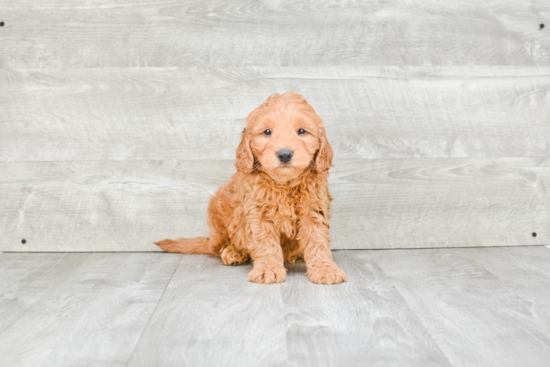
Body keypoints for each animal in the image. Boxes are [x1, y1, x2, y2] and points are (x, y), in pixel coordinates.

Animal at [155, 91, 348, 284]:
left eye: (302, 131)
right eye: (267, 132)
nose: (284, 154)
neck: (284, 184)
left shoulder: (313, 210)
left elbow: (317, 241)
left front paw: (325, 269)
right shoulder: (258, 213)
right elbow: (265, 242)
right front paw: (268, 269)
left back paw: (296, 254)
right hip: (218, 210)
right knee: (220, 245)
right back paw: (233, 252)